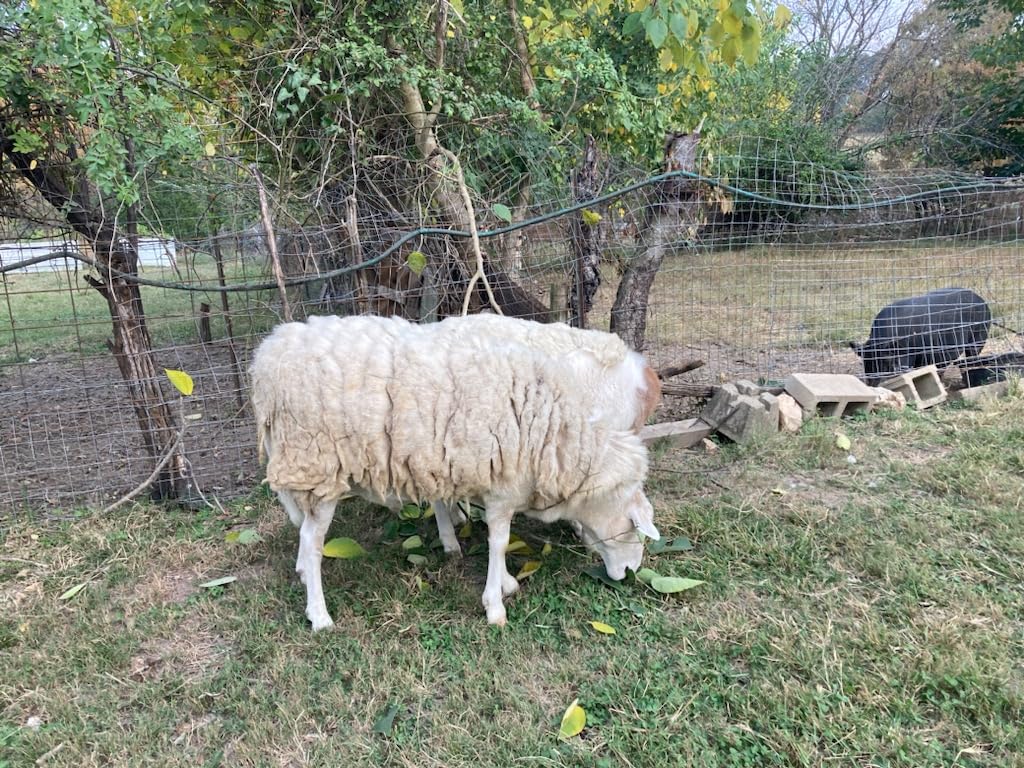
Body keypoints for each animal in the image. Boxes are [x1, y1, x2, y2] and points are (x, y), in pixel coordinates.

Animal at [250, 313, 661, 629]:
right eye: (631, 527)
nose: (630, 574)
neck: (555, 436)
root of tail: (268, 354)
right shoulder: (504, 486)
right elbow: (499, 541)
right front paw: (496, 604)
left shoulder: (488, 482)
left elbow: (494, 535)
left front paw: (501, 580)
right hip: (316, 465)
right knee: (312, 542)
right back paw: (319, 616)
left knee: (305, 536)